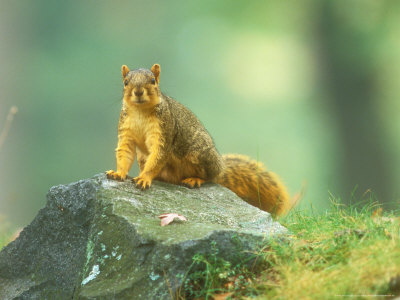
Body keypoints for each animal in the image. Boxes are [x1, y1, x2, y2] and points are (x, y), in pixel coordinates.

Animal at [104, 64, 290, 217]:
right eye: (126, 82)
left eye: (153, 80)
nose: (138, 91)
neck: (140, 111)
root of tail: (221, 169)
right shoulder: (126, 132)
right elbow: (125, 153)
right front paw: (118, 173)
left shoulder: (165, 131)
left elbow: (158, 155)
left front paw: (144, 178)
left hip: (199, 154)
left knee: (210, 177)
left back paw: (195, 180)